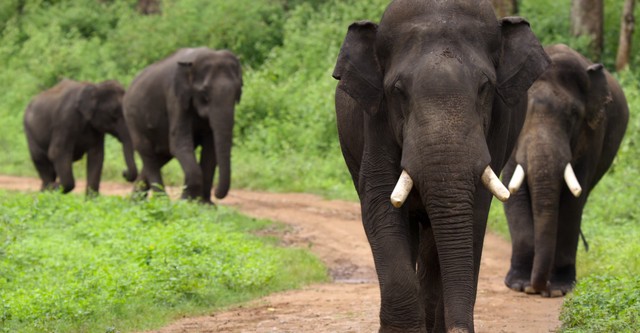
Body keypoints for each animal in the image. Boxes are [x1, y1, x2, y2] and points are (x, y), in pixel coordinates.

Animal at [123, 46, 242, 202]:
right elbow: (180, 143)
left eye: (238, 91)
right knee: (148, 153)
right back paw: (162, 201)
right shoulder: (175, 98)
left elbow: (210, 148)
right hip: (133, 119)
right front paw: (187, 202)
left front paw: (204, 204)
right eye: (204, 92)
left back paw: (134, 201)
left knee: (161, 155)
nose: (217, 193)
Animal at [500, 43, 632, 296]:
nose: (537, 288)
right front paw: (520, 285)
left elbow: (573, 200)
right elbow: (513, 191)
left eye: (573, 115)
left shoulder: (592, 133)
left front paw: (558, 290)